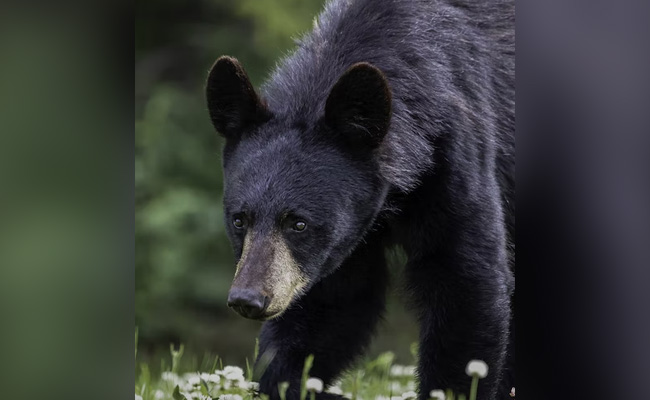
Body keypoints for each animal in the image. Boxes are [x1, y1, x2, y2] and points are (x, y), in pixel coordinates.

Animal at [205, 0, 514, 399]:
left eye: (298, 223)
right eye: (240, 219)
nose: (248, 299)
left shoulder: (455, 153)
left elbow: (465, 278)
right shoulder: (341, 240)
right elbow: (332, 303)